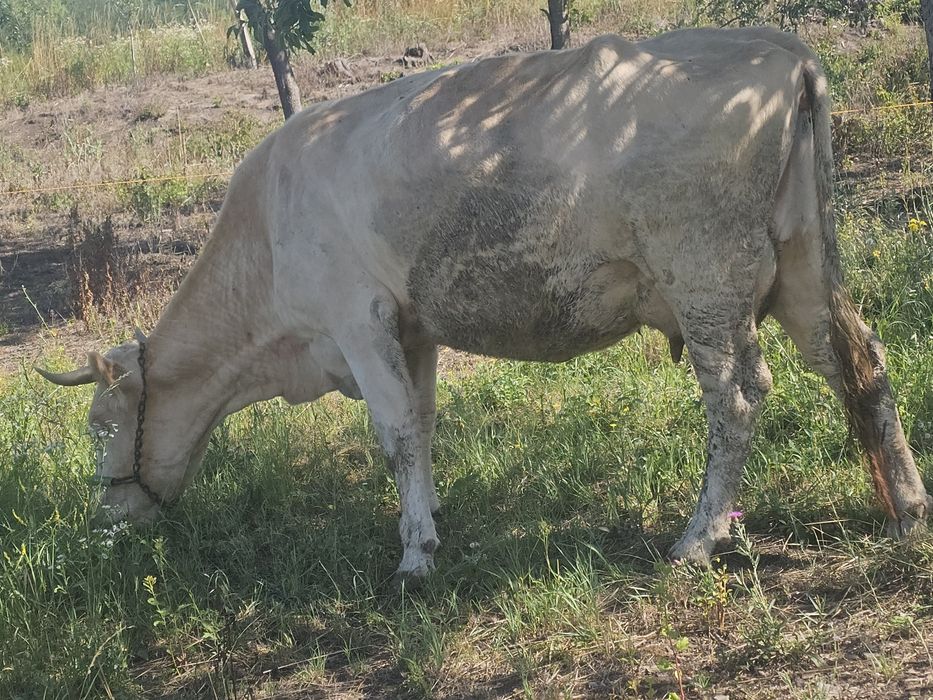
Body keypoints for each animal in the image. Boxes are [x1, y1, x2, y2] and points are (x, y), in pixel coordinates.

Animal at [39, 27, 931, 581]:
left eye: (99, 426)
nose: (106, 519)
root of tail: (776, 48)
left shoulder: (355, 317)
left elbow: (395, 434)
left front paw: (413, 558)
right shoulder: (413, 329)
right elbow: (423, 426)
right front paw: (429, 521)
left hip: (705, 274)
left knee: (737, 399)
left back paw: (697, 539)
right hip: (799, 267)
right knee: (860, 361)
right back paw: (907, 508)